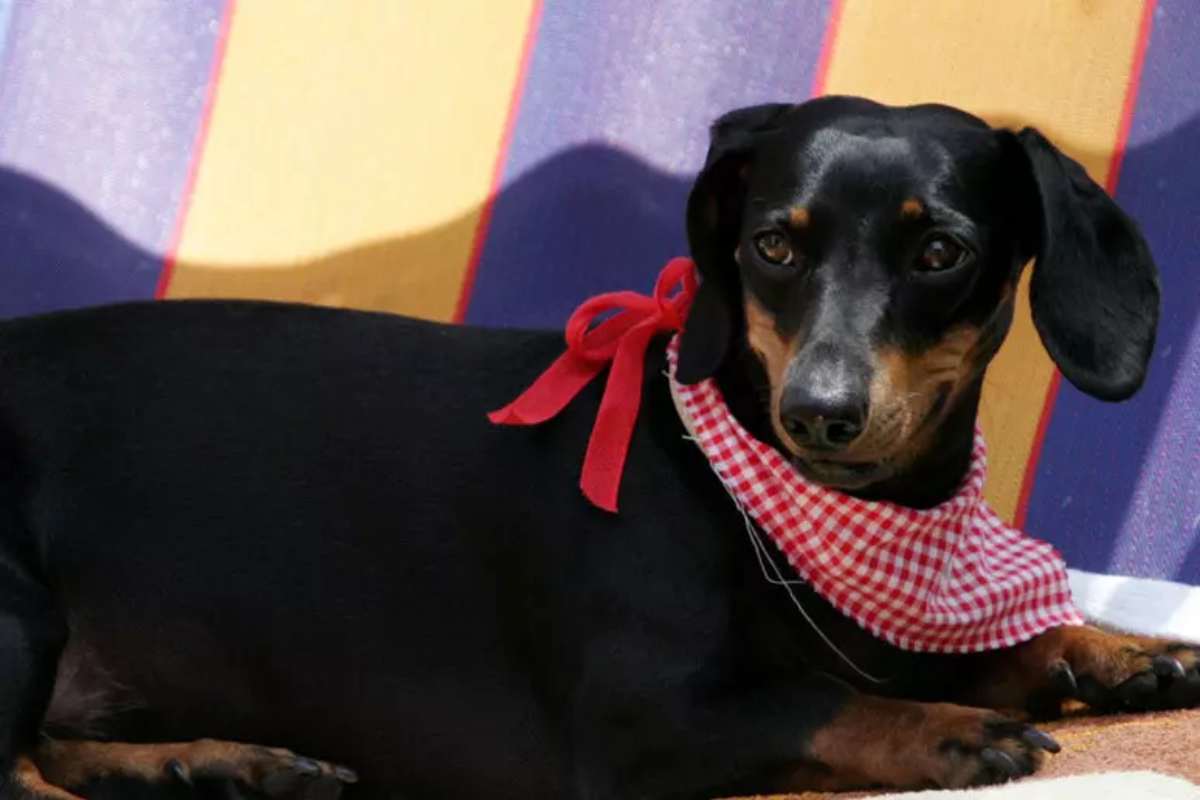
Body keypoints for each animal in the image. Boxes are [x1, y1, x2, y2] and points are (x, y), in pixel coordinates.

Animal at [0, 95, 1195, 800]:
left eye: (941, 250)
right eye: (772, 244)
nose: (820, 412)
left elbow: (989, 648)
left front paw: (1116, 650)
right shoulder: (637, 718)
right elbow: (820, 697)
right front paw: (945, 729)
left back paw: (210, 762)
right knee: (22, 776)